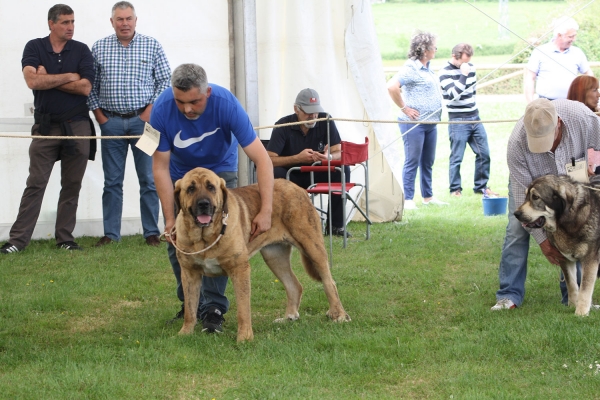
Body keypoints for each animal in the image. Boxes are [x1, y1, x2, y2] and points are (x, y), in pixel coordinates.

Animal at [173, 166, 350, 340]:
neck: (204, 238)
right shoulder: (189, 273)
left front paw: (244, 337)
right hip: (275, 256)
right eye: (190, 189)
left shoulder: (240, 269)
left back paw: (339, 315)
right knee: (294, 285)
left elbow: (243, 308)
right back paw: (289, 317)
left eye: (211, 187)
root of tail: (296, 187)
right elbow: (190, 308)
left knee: (329, 282)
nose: (204, 203)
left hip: (312, 246)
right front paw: (185, 333)